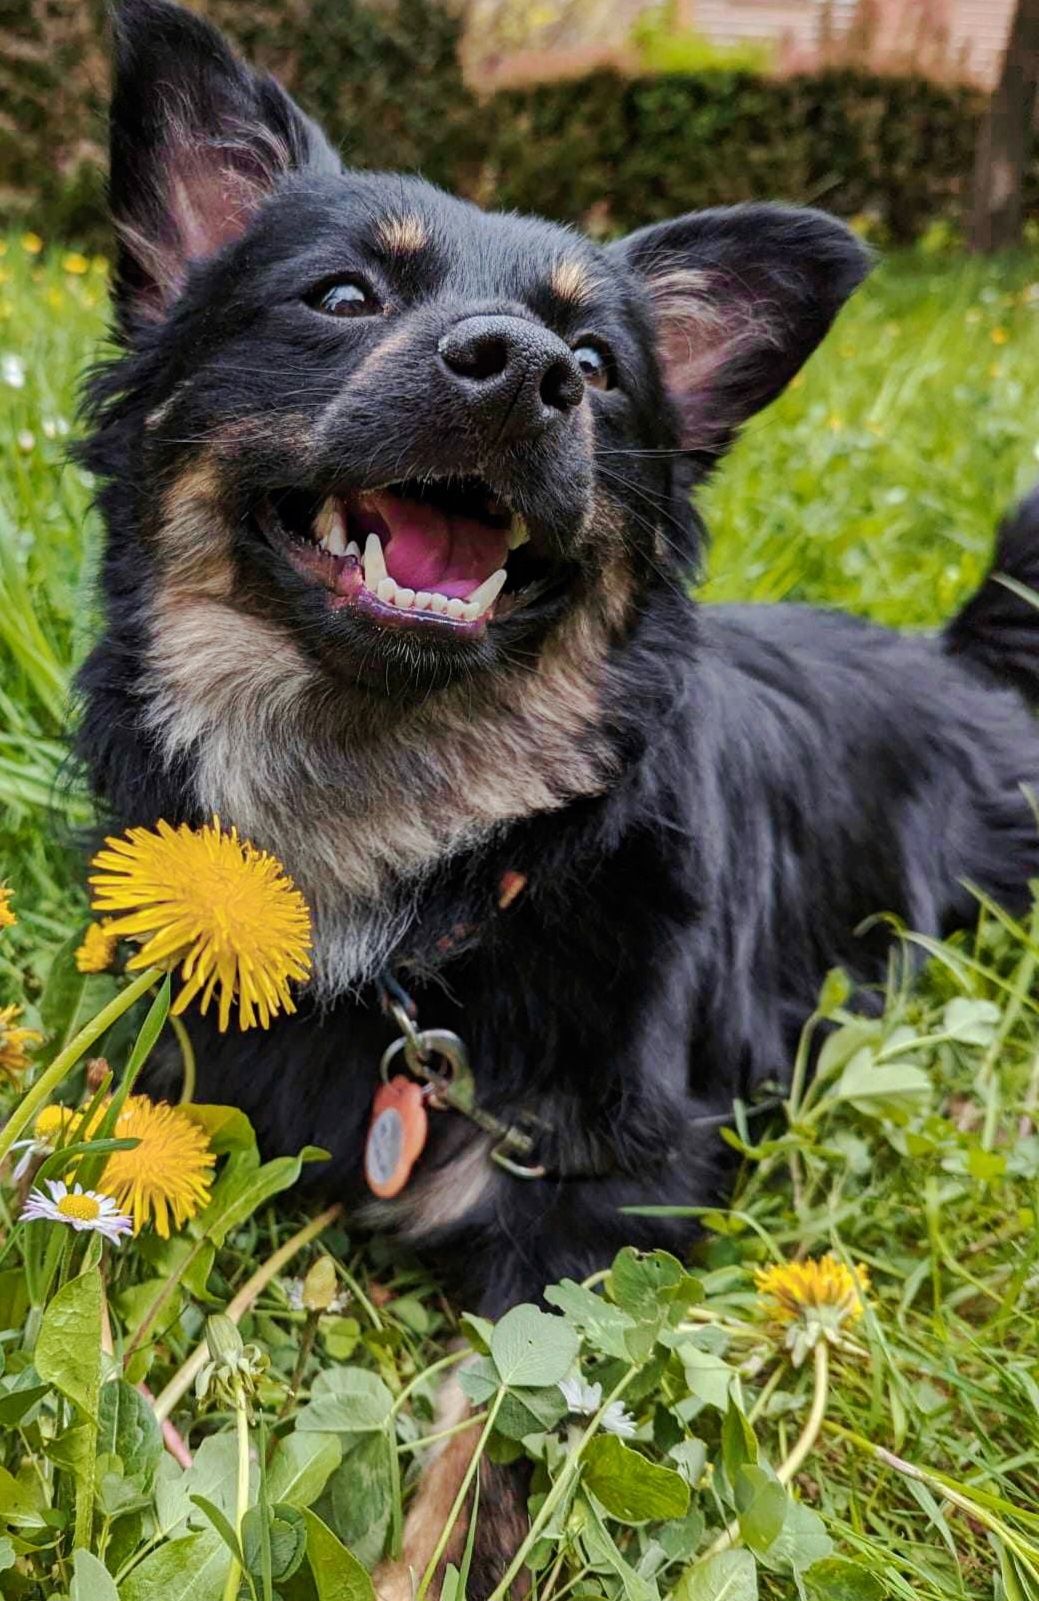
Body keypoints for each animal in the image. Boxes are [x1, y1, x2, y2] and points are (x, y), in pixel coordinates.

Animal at [76, 0, 1037, 1575]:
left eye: (593, 362)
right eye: (340, 295)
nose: (525, 370)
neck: (425, 854)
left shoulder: (609, 1194)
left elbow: (497, 1424)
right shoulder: (167, 1086)